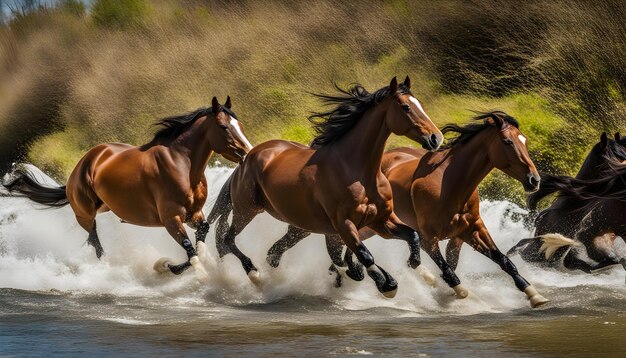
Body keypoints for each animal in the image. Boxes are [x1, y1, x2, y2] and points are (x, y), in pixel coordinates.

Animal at [3, 97, 251, 280]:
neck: (182, 165)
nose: (247, 152)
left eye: (240, 125)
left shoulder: (193, 214)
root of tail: (84, 162)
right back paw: (106, 270)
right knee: (95, 243)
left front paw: (168, 267)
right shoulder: (170, 218)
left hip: (103, 207)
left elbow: (200, 238)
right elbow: (189, 248)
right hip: (85, 215)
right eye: (223, 126)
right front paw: (168, 267)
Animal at [207, 77, 442, 298]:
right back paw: (254, 274)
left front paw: (423, 275)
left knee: (271, 253)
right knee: (228, 239)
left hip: (298, 225)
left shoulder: (381, 220)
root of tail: (247, 156)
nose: (435, 138)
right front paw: (386, 285)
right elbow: (364, 255)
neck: (358, 172)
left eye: (420, 104)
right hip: (247, 210)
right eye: (406, 107)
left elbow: (412, 236)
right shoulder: (344, 225)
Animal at [270, 111, 544, 308]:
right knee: (303, 240)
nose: (534, 180)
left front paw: (534, 295)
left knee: (342, 251)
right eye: (507, 141)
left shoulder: (470, 231)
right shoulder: (428, 237)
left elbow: (504, 261)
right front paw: (459, 293)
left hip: (371, 226)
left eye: (524, 140)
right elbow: (448, 272)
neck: (450, 183)